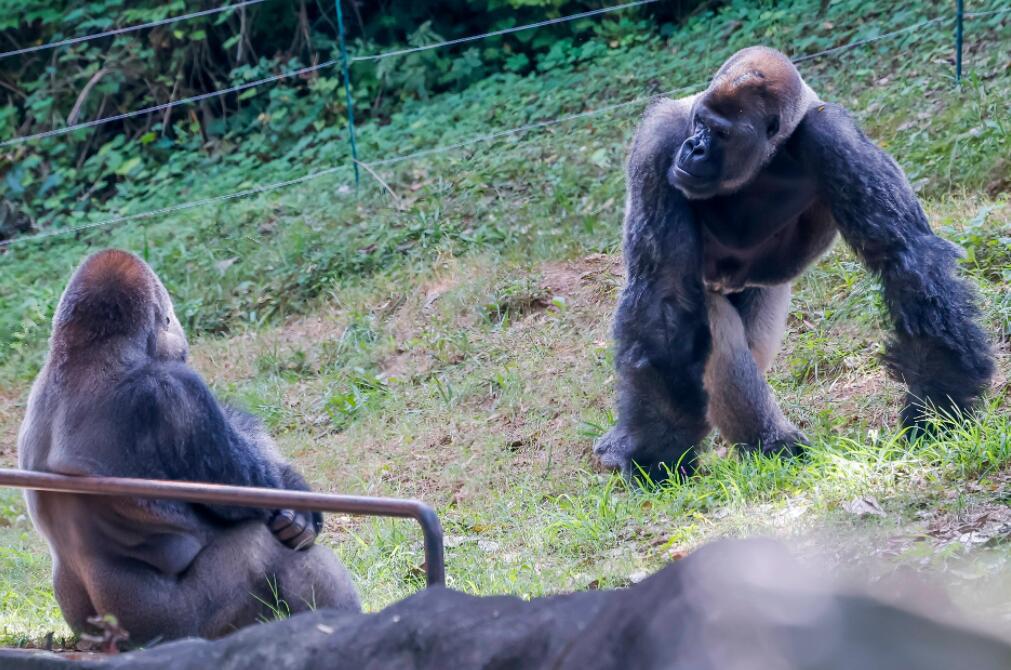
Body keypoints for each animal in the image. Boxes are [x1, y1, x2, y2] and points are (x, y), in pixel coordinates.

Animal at [16, 250, 359, 646]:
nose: (180, 334)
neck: (80, 356)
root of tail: (111, 646)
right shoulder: (176, 390)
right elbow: (257, 489)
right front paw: (300, 508)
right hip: (180, 630)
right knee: (267, 550)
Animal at [590, 45, 994, 483]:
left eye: (722, 134)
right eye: (699, 124)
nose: (694, 148)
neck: (765, 157)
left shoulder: (833, 135)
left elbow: (905, 257)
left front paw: (937, 402)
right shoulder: (661, 140)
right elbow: (665, 294)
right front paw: (658, 452)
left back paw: (767, 444)